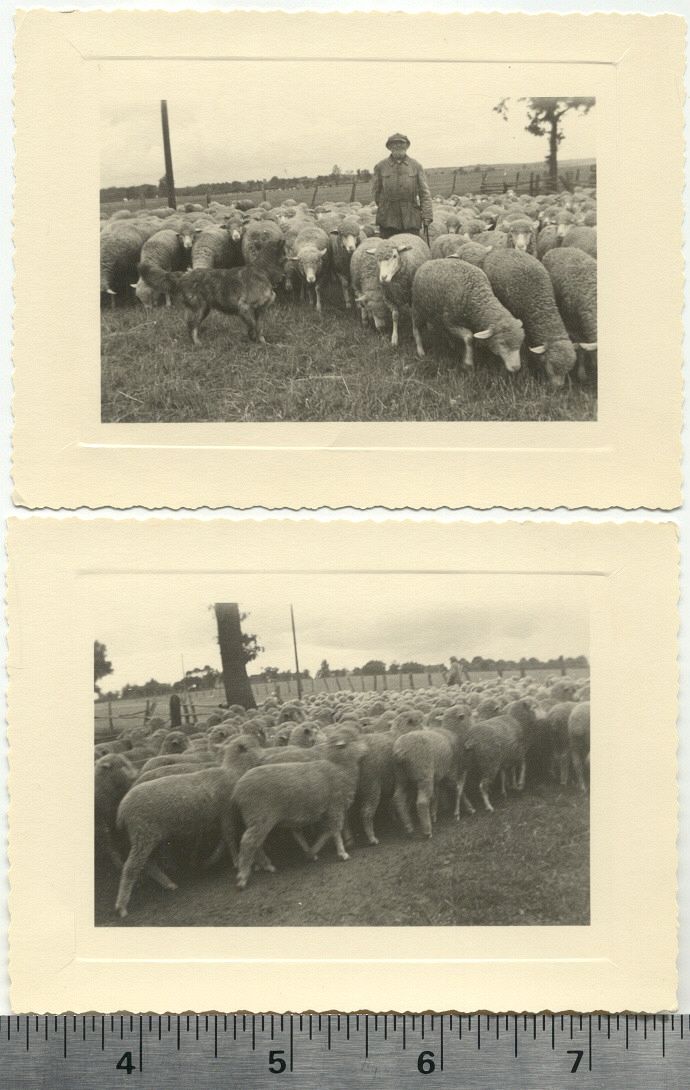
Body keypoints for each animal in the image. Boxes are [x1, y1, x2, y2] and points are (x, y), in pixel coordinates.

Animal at [112, 732, 263, 919]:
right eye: (253, 745)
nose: (263, 757)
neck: (232, 772)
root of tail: (122, 809)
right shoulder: (226, 813)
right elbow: (229, 836)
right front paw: (235, 860)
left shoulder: (220, 817)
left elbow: (223, 838)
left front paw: (212, 859)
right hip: (143, 833)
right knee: (131, 867)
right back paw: (121, 905)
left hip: (150, 836)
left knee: (148, 864)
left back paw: (168, 883)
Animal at [137, 238, 287, 344]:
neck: (263, 270)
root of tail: (185, 275)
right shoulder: (244, 307)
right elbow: (252, 326)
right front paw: (253, 340)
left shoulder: (260, 310)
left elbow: (259, 327)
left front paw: (262, 342)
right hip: (200, 308)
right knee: (192, 326)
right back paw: (197, 343)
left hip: (203, 309)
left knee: (192, 325)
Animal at [230, 728, 366, 889]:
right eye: (355, 740)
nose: (367, 748)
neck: (340, 768)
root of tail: (237, 790)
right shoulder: (335, 807)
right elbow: (335, 832)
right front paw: (342, 853)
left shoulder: (327, 811)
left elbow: (326, 832)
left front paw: (311, 852)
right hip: (260, 817)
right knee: (248, 842)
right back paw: (243, 877)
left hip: (255, 819)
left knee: (256, 844)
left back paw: (265, 865)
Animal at [392, 701, 473, 837]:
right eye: (469, 715)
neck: (452, 731)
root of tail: (400, 751)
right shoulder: (450, 771)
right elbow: (457, 789)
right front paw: (468, 808)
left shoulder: (438, 775)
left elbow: (436, 793)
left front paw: (434, 814)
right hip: (424, 775)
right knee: (422, 802)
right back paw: (427, 831)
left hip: (401, 777)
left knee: (398, 798)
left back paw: (409, 827)